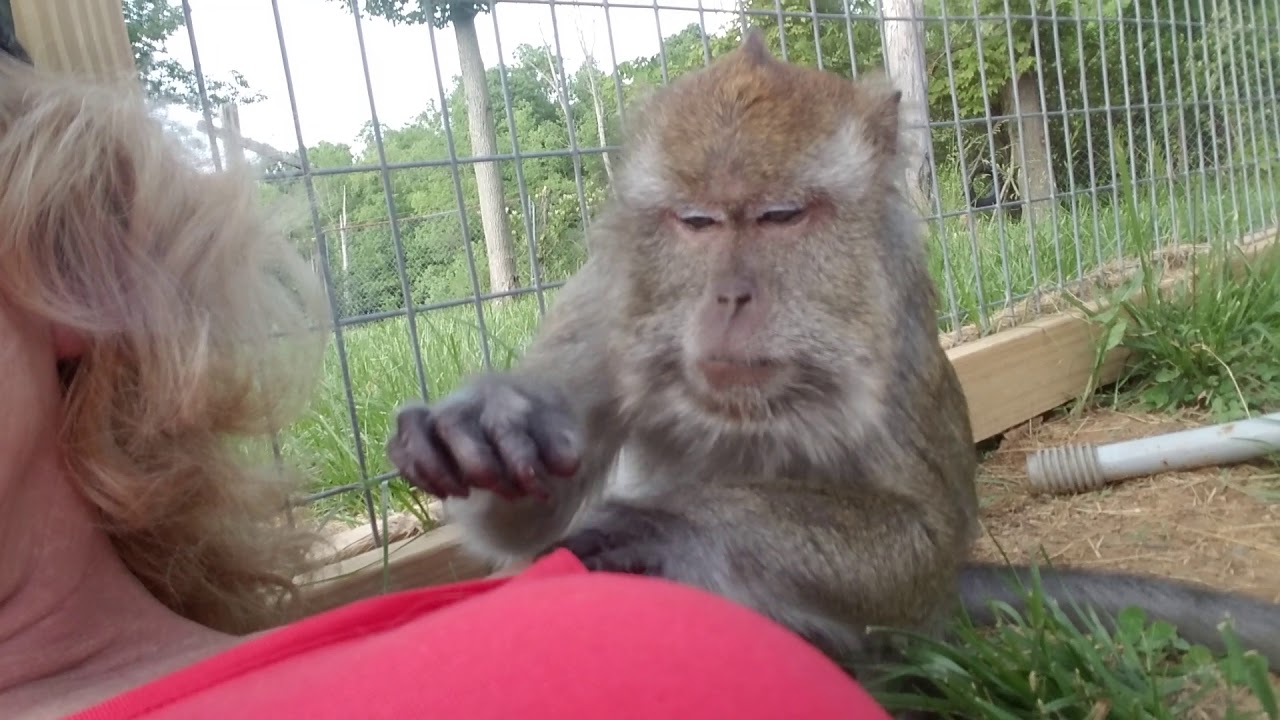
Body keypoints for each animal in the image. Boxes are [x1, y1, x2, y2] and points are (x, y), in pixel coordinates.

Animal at [386, 29, 1280, 682]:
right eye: (695, 222)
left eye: (781, 217)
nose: (729, 298)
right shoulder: (606, 301)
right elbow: (522, 520)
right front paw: (488, 424)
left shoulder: (894, 328)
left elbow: (922, 544)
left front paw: (673, 524)